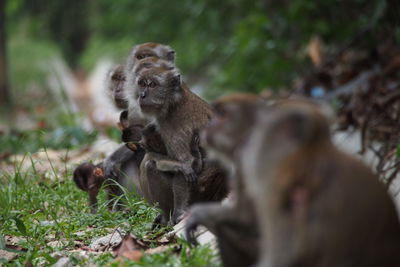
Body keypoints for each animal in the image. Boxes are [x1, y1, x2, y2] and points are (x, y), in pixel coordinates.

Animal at [126, 65, 228, 226]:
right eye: (142, 84)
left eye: (152, 84)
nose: (141, 95)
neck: (174, 102)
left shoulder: (173, 127)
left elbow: (187, 164)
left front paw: (179, 213)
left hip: (197, 197)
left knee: (150, 165)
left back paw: (166, 217)